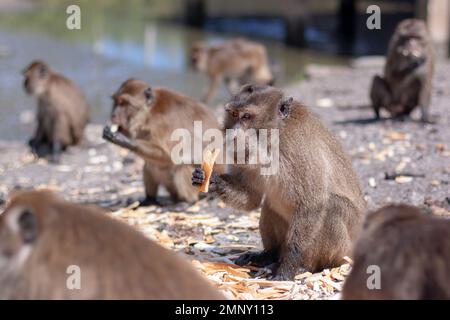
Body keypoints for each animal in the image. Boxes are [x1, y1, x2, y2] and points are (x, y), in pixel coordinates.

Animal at [191, 84, 366, 280]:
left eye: (247, 117)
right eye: (234, 114)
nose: (233, 137)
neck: (271, 141)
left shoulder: (298, 150)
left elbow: (312, 205)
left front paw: (289, 266)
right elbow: (251, 198)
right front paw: (210, 180)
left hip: (344, 250)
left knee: (333, 207)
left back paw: (305, 266)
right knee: (270, 205)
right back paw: (269, 255)